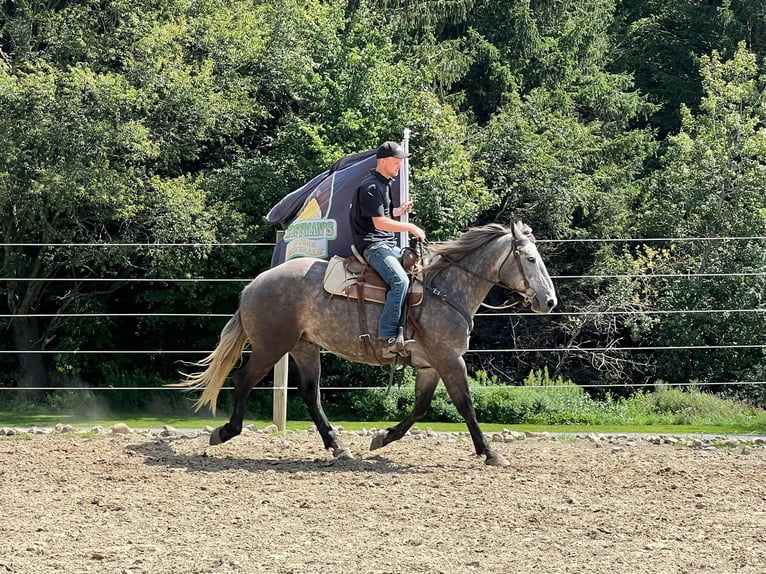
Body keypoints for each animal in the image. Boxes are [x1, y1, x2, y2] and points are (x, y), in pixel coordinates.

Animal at [177, 220, 557, 467]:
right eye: (530, 259)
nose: (549, 301)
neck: (445, 289)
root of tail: (254, 285)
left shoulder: (430, 364)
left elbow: (421, 407)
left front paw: (382, 438)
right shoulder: (449, 359)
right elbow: (465, 405)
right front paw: (491, 453)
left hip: (304, 347)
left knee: (310, 394)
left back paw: (338, 447)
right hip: (271, 347)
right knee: (243, 382)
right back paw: (225, 432)